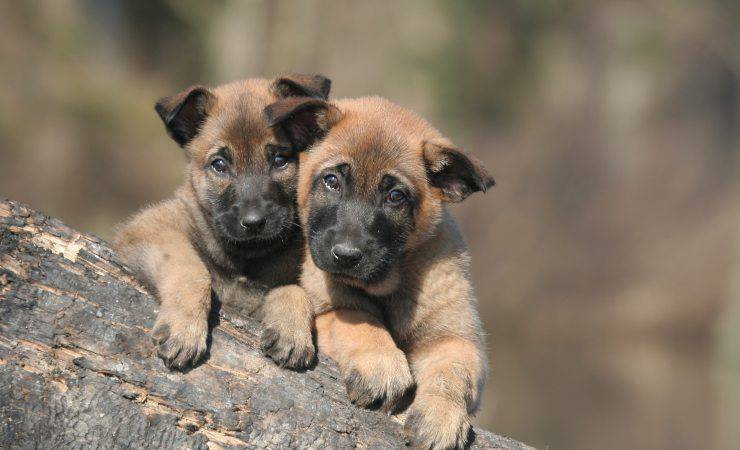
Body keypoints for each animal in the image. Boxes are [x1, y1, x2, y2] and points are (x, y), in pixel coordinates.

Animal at [112, 74, 330, 370]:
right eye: (219, 165)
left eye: (280, 160)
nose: (254, 222)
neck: (244, 260)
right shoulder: (149, 226)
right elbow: (191, 268)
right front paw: (184, 329)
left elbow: (294, 290)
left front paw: (291, 329)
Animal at [264, 96, 494, 448]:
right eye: (332, 181)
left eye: (394, 196)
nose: (346, 256)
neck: (387, 286)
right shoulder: (330, 309)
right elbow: (360, 321)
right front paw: (381, 366)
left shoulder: (457, 338)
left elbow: (453, 371)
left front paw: (441, 415)